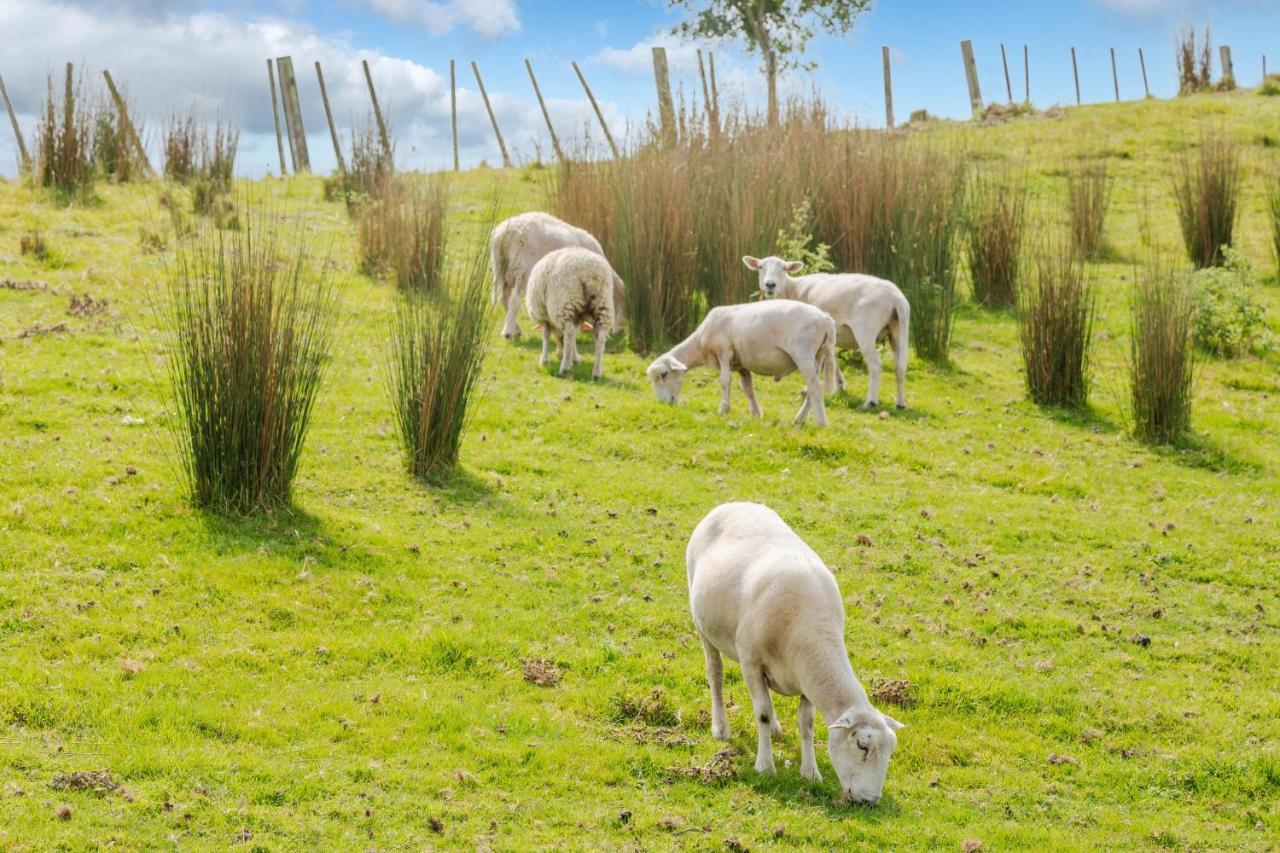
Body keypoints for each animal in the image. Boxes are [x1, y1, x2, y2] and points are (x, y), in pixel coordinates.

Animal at [486, 211, 622, 340]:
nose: (618, 332)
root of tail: (502, 235)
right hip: (521, 267)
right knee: (514, 300)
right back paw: (509, 332)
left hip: (501, 267)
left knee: (505, 298)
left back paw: (515, 328)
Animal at [519, 245, 619, 379]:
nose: (559, 353)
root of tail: (589, 272)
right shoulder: (576, 318)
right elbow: (573, 339)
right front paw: (575, 358)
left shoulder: (544, 318)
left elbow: (546, 335)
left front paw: (545, 360)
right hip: (603, 305)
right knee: (600, 337)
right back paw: (596, 373)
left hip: (564, 304)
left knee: (569, 333)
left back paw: (564, 368)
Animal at [640, 298, 839, 425]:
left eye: (664, 374)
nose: (664, 403)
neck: (700, 344)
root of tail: (826, 319)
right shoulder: (742, 363)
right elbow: (747, 388)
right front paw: (756, 413)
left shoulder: (724, 351)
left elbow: (724, 381)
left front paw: (723, 409)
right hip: (818, 355)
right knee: (813, 387)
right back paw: (800, 419)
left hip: (803, 352)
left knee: (815, 386)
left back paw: (821, 422)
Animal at [686, 499, 906, 799]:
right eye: (862, 746)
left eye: (890, 751)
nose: (871, 800)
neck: (809, 629)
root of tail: (732, 504)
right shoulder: (751, 662)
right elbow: (762, 713)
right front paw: (765, 766)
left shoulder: (806, 678)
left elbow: (806, 724)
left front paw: (810, 772)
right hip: (704, 628)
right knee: (716, 675)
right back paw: (720, 728)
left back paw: (776, 728)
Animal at [742, 253, 911, 409]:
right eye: (760, 267)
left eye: (784, 268)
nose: (770, 285)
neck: (791, 290)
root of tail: (896, 298)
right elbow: (832, 357)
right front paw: (840, 384)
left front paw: (808, 389)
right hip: (898, 330)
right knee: (900, 365)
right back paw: (900, 403)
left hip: (866, 329)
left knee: (875, 364)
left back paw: (870, 402)